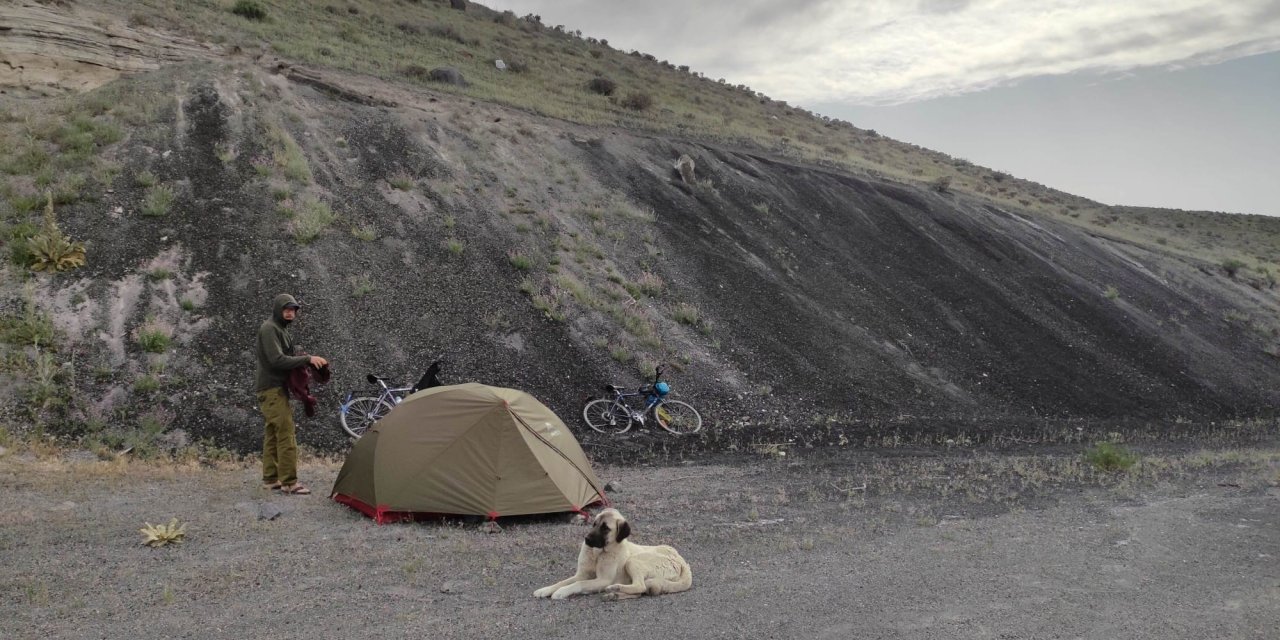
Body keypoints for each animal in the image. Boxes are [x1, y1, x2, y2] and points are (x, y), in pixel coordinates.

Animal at [529, 509, 691, 599]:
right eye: (594, 524)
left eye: (605, 528)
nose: (587, 539)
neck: (598, 554)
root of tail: (682, 561)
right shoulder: (581, 574)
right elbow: (563, 582)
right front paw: (545, 590)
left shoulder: (603, 580)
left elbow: (579, 584)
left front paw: (561, 592)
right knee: (641, 590)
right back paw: (614, 594)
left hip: (633, 561)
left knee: (640, 586)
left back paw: (615, 588)